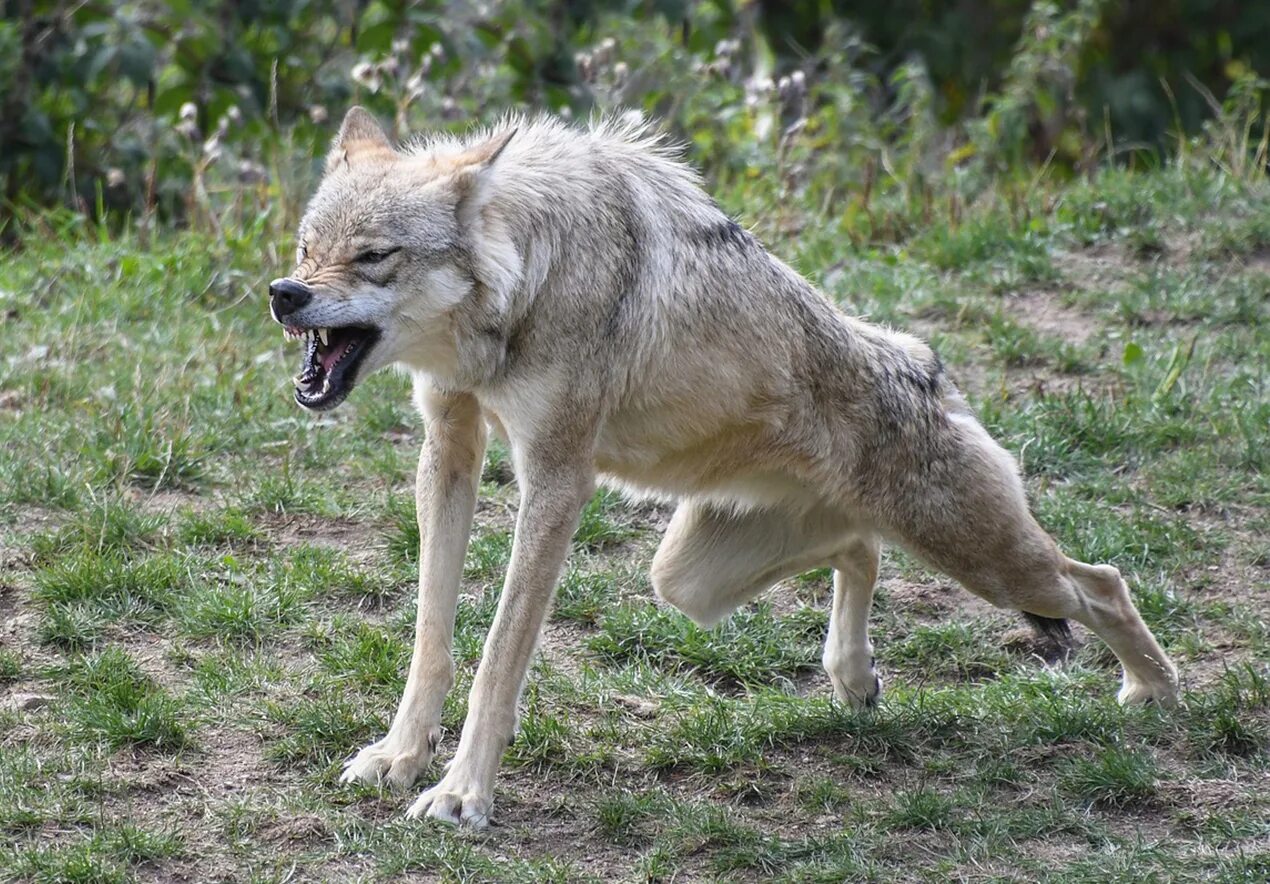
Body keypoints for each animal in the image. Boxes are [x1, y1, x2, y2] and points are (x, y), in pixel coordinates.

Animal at [267, 107, 1178, 823]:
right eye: (308, 247)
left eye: (373, 256)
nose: (284, 293)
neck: (527, 277)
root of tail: (927, 364)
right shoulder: (448, 449)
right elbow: (432, 634)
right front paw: (399, 757)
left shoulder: (557, 480)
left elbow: (497, 656)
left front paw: (462, 794)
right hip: (688, 580)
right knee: (860, 548)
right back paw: (854, 679)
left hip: (987, 562)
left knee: (1101, 582)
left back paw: (1156, 696)